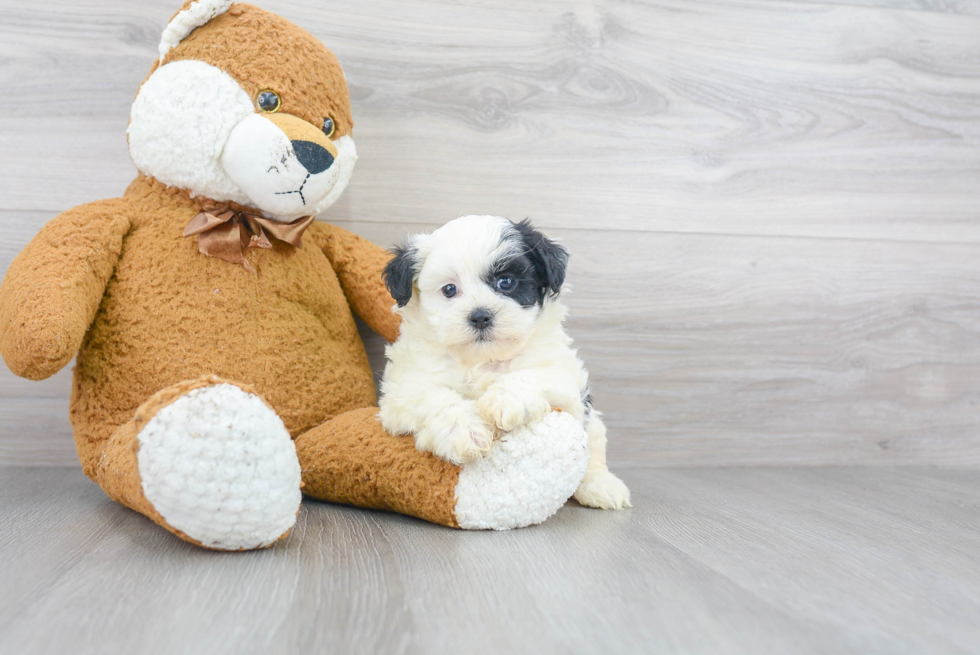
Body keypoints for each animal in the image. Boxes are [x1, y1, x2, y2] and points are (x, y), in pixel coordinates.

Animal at [378, 217, 632, 512]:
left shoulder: (563, 377)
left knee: (594, 447)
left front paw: (504, 400)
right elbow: (435, 397)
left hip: (591, 424)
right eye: (449, 290)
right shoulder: (403, 389)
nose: (480, 316)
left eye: (506, 282)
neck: (482, 359)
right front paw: (466, 430)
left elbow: (534, 375)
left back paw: (600, 485)